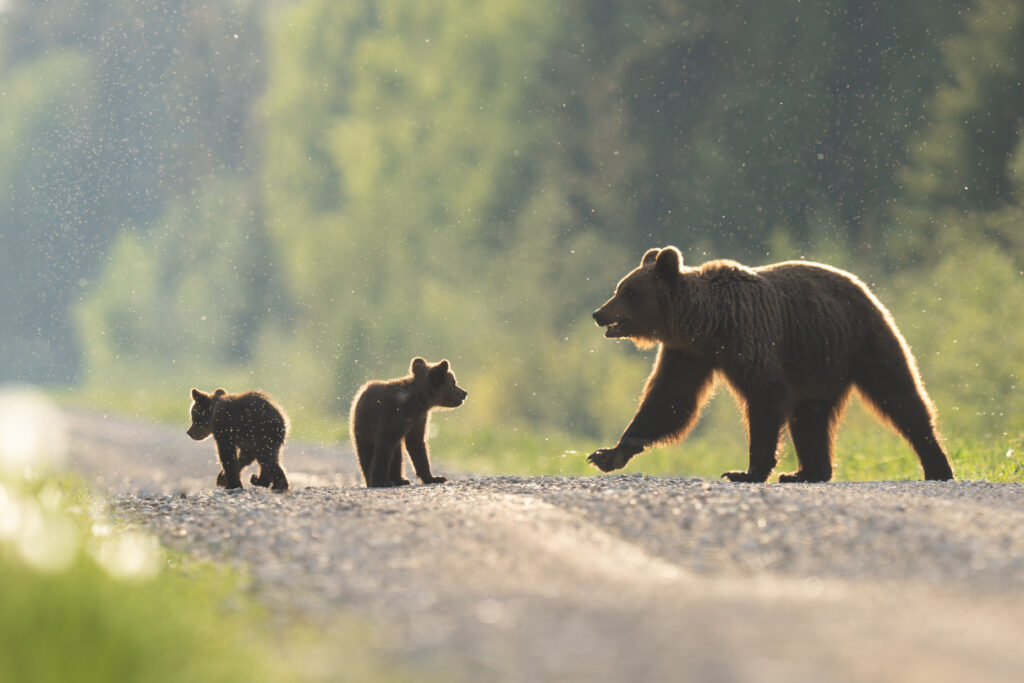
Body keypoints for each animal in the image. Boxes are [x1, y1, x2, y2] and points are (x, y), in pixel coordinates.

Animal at [350, 357, 467, 488]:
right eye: (453, 383)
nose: (464, 393)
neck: (416, 401)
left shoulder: (418, 420)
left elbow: (417, 445)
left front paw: (434, 478)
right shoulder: (391, 416)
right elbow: (384, 447)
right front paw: (379, 481)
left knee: (397, 455)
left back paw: (400, 479)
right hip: (362, 428)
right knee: (366, 453)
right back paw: (374, 480)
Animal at [588, 246, 954, 483]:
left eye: (629, 291)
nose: (598, 313)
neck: (706, 324)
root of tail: (864, 287)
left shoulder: (748, 338)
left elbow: (765, 397)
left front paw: (745, 472)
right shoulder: (688, 354)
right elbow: (669, 400)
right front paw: (609, 454)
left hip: (862, 340)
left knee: (900, 397)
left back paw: (937, 467)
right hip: (817, 366)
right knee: (809, 417)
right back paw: (806, 473)